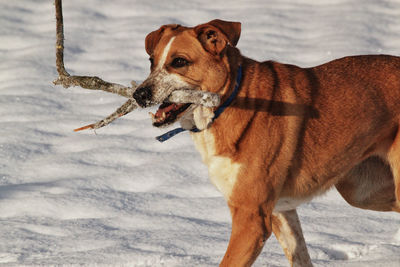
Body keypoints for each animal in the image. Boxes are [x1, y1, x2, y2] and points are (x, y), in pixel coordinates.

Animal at [133, 19, 398, 266]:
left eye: (179, 62)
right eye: (151, 61)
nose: (139, 94)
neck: (229, 101)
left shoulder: (251, 219)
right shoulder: (280, 212)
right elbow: (299, 256)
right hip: (362, 190)